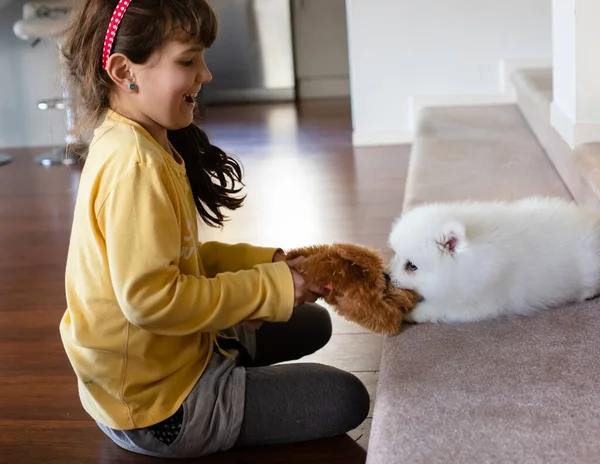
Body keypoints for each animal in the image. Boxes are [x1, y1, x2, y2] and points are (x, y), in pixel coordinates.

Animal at [386, 196, 600, 322]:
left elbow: (440, 307)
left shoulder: (482, 302)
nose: (386, 275)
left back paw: (586, 292)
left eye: (411, 266)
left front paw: (413, 312)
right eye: (396, 254)